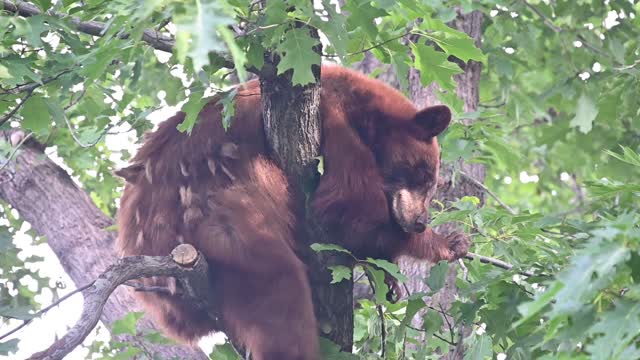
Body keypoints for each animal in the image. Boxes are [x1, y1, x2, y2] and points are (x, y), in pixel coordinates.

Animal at [116, 64, 470, 360]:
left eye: (431, 183)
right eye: (423, 176)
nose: (420, 223)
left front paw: (390, 278)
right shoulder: (333, 122)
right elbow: (345, 207)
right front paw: (448, 243)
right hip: (217, 218)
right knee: (280, 294)